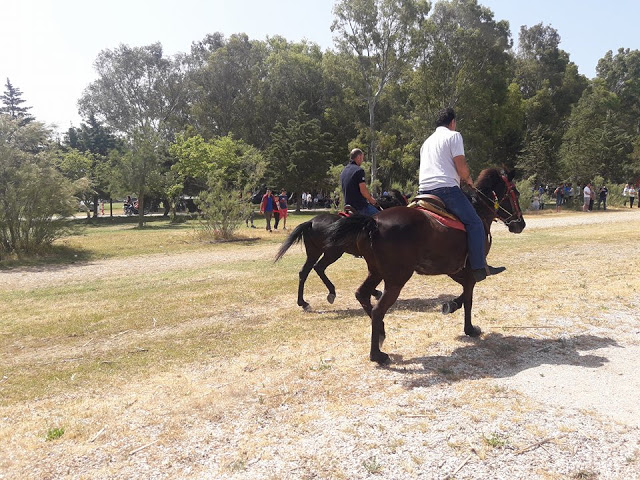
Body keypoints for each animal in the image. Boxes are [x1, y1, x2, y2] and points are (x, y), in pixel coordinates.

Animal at [274, 189, 404, 310]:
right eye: (397, 201)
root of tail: (310, 222)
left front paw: (374, 292)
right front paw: (375, 292)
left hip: (314, 252)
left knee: (304, 272)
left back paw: (303, 303)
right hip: (333, 253)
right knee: (319, 267)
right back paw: (331, 293)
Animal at [324, 169, 524, 364]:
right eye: (516, 193)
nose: (520, 224)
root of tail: (373, 222)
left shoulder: (454, 269)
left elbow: (464, 292)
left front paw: (451, 305)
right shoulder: (470, 270)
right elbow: (469, 298)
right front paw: (469, 328)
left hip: (375, 272)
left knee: (362, 295)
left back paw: (381, 333)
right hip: (397, 279)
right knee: (377, 310)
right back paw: (377, 355)